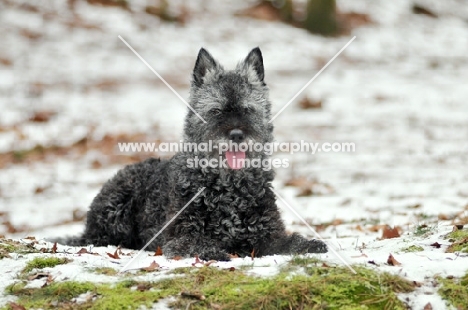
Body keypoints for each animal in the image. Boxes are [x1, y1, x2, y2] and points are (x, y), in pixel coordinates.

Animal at [61, 47, 326, 260]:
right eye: (216, 111)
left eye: (248, 109)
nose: (237, 134)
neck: (228, 188)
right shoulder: (180, 236)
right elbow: (196, 243)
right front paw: (212, 251)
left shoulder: (267, 234)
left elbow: (289, 242)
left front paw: (309, 244)